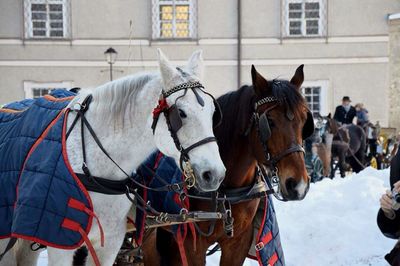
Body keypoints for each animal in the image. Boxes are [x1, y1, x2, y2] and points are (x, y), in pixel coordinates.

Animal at [0, 48, 225, 264]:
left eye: (213, 112)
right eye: (181, 113)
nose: (215, 174)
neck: (94, 169)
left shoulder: (109, 243)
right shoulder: (59, 241)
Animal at [144, 65, 312, 266]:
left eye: (304, 120)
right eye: (270, 121)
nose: (298, 185)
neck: (226, 192)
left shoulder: (238, 242)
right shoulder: (189, 243)